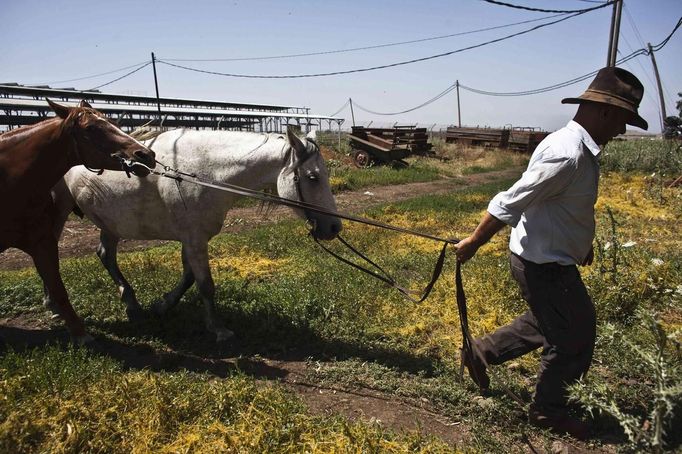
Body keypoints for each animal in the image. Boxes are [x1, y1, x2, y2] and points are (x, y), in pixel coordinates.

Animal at [49, 127, 340, 340]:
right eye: (312, 177)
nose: (335, 228)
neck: (203, 173)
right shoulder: (195, 239)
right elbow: (205, 284)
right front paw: (218, 329)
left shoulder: (190, 238)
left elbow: (189, 277)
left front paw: (163, 305)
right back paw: (56, 306)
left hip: (111, 223)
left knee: (105, 255)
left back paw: (129, 305)